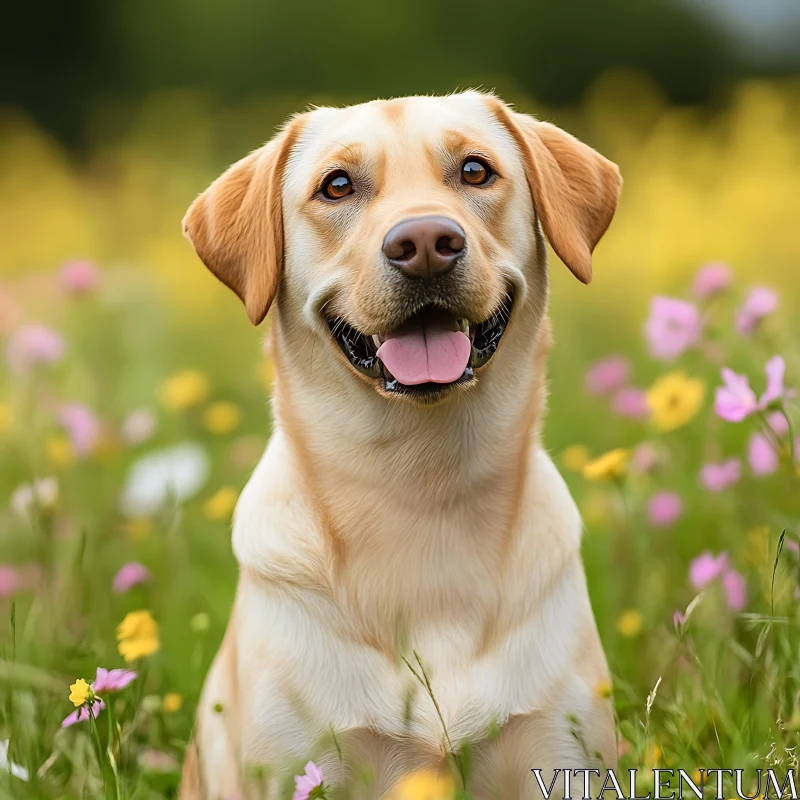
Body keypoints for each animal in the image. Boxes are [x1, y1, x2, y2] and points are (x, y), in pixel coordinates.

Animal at [178, 90, 620, 796]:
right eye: (336, 186)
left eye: (475, 171)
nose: (425, 244)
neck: (424, 488)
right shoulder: (302, 767)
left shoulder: (564, 751)